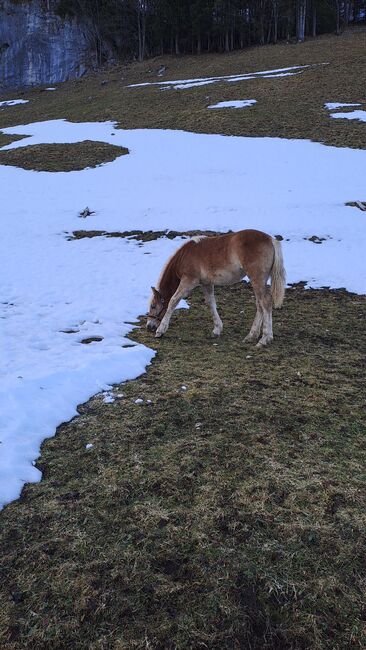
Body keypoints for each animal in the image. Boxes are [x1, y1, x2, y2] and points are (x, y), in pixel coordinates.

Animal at [147, 230, 286, 346]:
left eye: (153, 306)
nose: (149, 326)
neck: (185, 256)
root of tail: (270, 239)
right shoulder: (207, 283)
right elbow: (211, 303)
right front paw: (217, 329)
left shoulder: (189, 281)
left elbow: (173, 301)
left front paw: (160, 330)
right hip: (258, 281)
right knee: (259, 304)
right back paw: (251, 335)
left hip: (257, 279)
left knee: (265, 302)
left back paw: (265, 338)